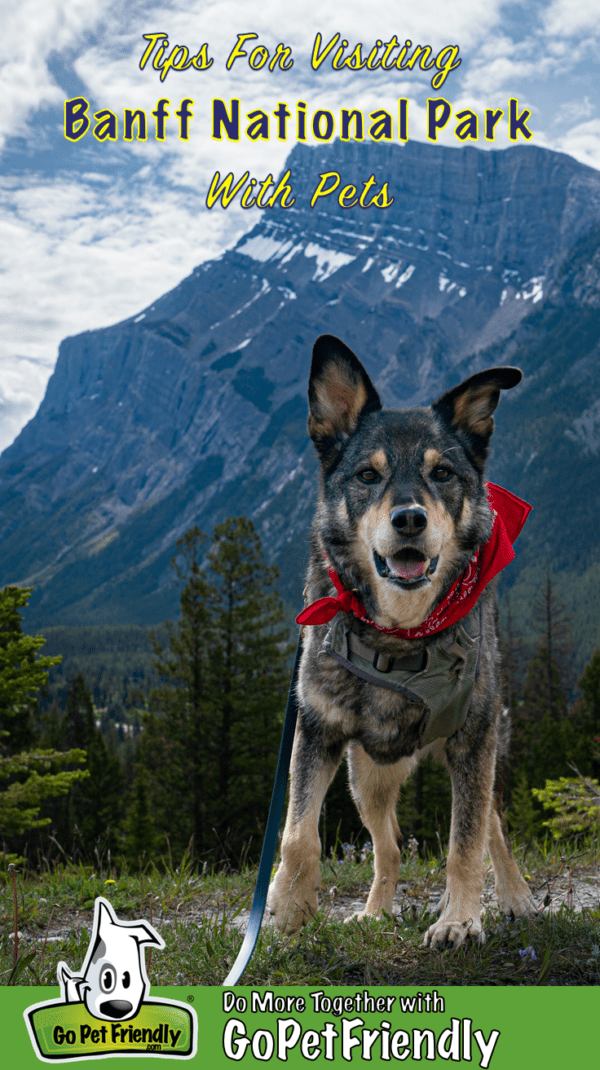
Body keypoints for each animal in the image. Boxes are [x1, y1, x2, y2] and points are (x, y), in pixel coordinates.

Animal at [267, 331, 539, 945]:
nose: (410, 519)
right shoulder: (316, 729)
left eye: (443, 474)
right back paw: (374, 911)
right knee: (387, 846)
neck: (400, 632)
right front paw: (288, 905)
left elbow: (465, 844)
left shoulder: (472, 741)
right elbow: (297, 833)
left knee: (493, 830)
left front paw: (459, 920)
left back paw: (516, 898)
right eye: (367, 476)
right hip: (366, 775)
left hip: (483, 753)